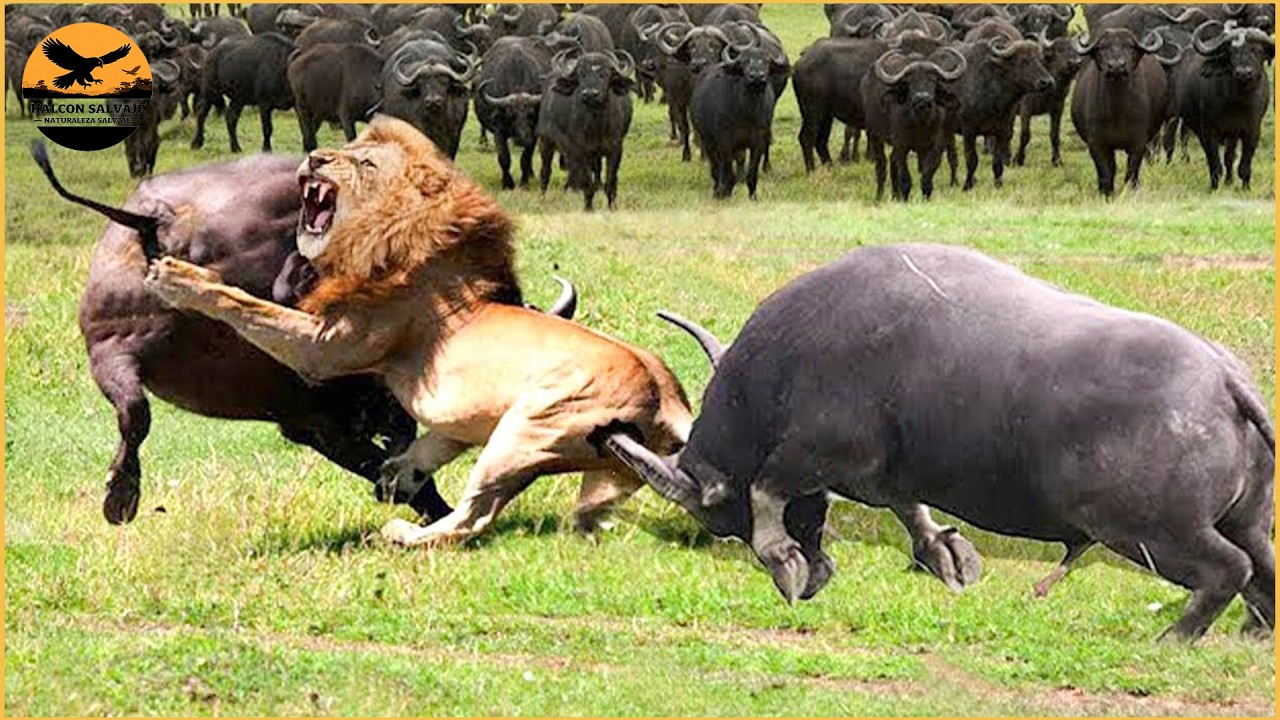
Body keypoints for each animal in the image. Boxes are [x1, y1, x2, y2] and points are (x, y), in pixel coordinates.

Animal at [144, 115, 693, 546]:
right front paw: (395, 473)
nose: (316, 158)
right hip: (595, 466)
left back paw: (401, 534)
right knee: (587, 514)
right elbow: (430, 442)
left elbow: (247, 305)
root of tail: (666, 397)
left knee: (474, 519)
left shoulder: (330, 347)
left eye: (365, 164)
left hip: (528, 430)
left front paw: (179, 278)